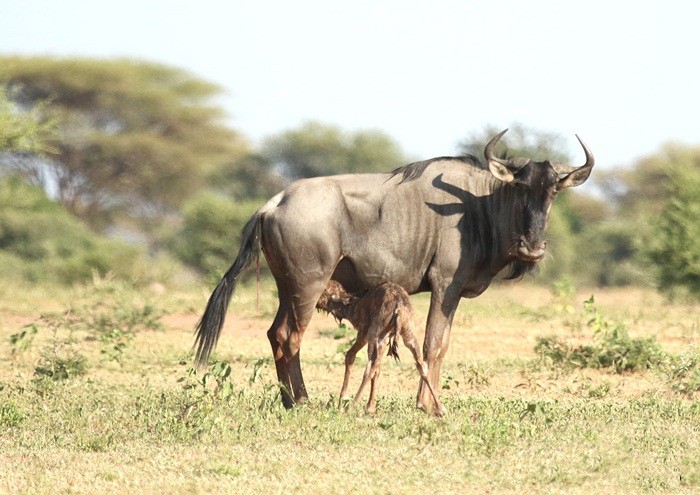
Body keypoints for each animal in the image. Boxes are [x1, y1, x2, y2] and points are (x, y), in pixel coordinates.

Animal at [318, 280, 442, 412]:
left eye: (324, 290)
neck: (355, 306)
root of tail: (399, 307)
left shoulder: (364, 332)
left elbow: (350, 356)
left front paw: (344, 400)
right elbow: (377, 369)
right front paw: (370, 407)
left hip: (376, 335)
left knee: (370, 368)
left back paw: (352, 406)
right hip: (408, 334)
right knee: (421, 364)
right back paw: (440, 408)